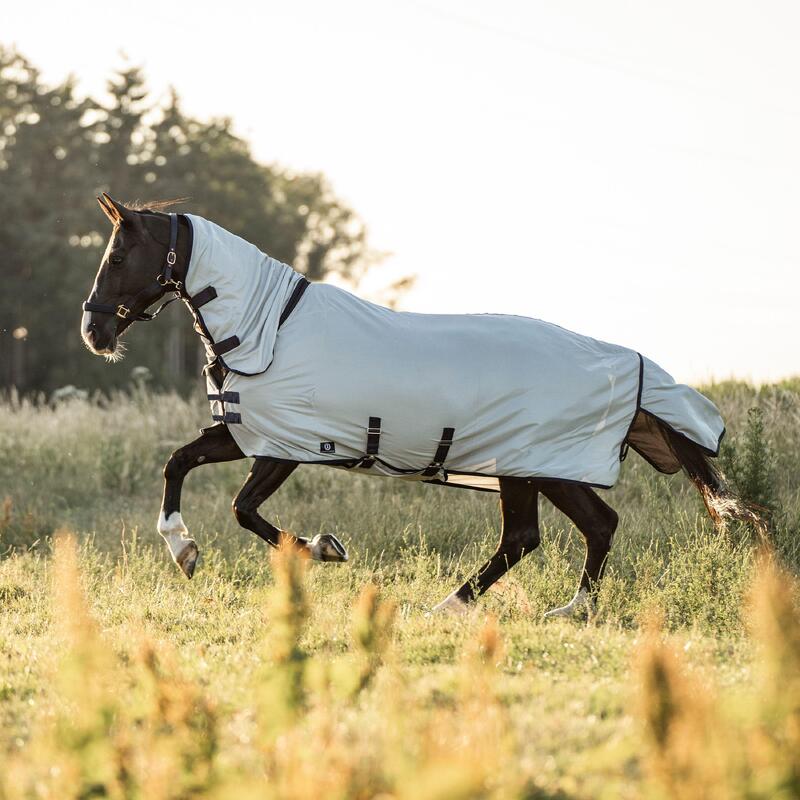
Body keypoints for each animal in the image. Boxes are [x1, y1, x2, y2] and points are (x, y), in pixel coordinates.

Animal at [83, 195, 752, 620]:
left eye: (116, 257)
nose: (94, 332)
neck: (269, 328)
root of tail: (629, 366)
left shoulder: (287, 446)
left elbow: (244, 509)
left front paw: (324, 548)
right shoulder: (249, 433)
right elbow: (177, 463)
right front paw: (184, 551)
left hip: (535, 466)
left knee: (555, 533)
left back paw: (474, 606)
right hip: (534, 469)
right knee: (564, 531)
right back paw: (548, 609)